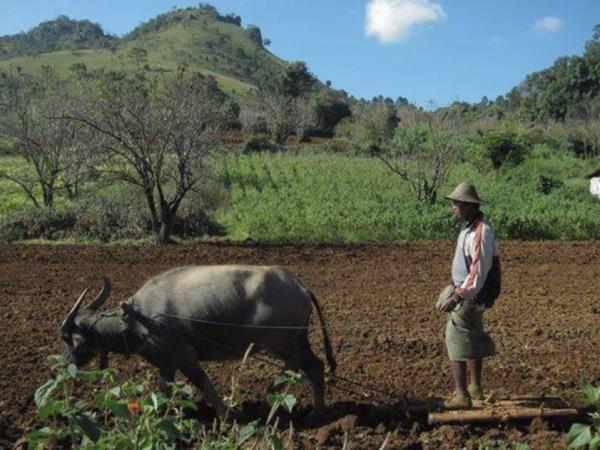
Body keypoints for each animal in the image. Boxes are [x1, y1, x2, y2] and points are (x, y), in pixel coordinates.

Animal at [59, 266, 338, 416]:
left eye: (68, 339)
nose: (63, 364)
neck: (138, 319)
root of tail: (300, 287)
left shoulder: (185, 357)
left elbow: (205, 386)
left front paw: (226, 416)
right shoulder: (167, 365)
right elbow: (165, 391)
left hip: (279, 343)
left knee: (296, 365)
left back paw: (269, 402)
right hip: (298, 339)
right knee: (314, 366)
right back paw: (316, 412)